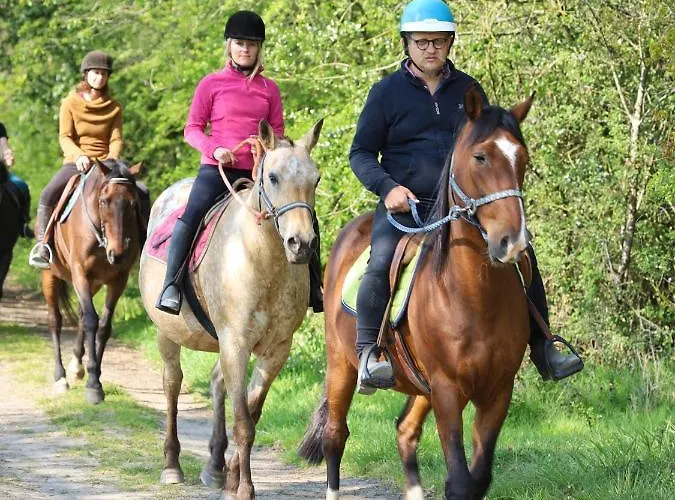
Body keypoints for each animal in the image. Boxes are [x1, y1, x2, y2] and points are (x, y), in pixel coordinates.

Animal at [42, 159, 144, 404]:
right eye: (104, 201)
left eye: (133, 203)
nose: (117, 253)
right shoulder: (80, 273)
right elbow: (91, 320)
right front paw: (93, 386)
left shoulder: (118, 279)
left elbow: (104, 326)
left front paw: (94, 375)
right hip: (50, 276)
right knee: (55, 320)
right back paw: (60, 378)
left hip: (95, 283)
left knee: (79, 314)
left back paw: (77, 367)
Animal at [138, 119, 323, 499]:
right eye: (273, 177)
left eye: (316, 179)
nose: (301, 243)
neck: (260, 260)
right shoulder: (235, 343)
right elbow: (243, 422)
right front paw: (244, 488)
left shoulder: (276, 349)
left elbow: (251, 412)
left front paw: (233, 476)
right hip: (168, 333)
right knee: (172, 384)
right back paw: (172, 465)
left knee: (216, 383)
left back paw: (214, 466)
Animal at [299, 88, 535, 500]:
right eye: (481, 156)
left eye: (522, 158)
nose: (513, 242)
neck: (474, 296)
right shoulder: (446, 390)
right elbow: (459, 480)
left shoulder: (497, 392)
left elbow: (478, 478)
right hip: (341, 365)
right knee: (334, 436)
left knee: (405, 431)